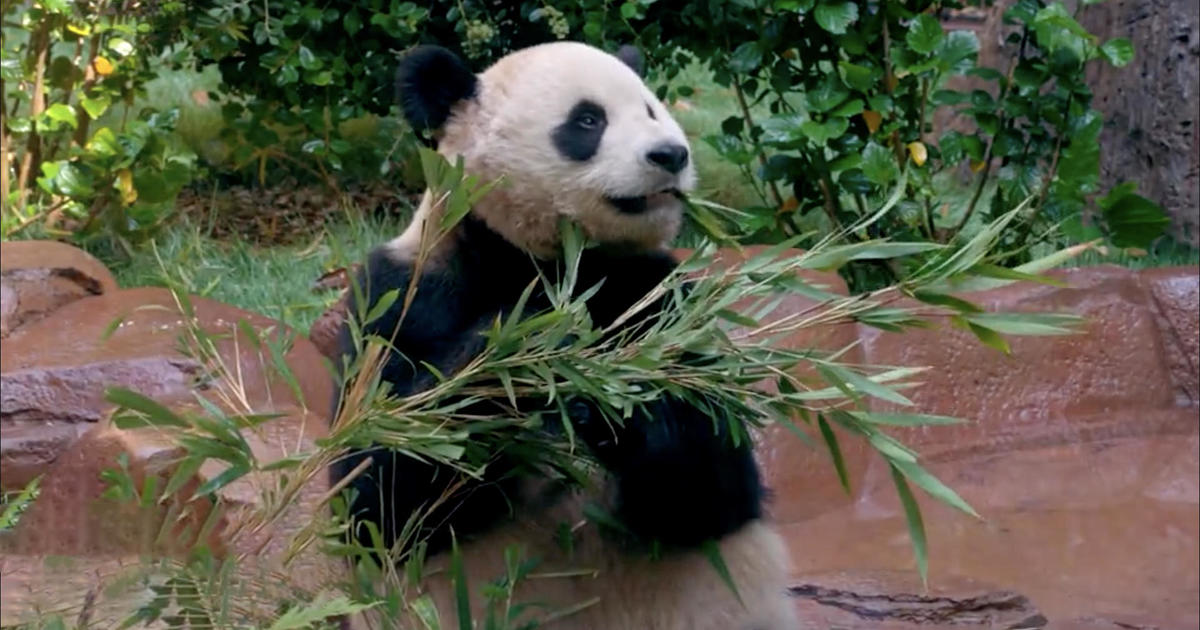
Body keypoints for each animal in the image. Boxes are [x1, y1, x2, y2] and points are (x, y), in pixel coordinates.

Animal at [328, 41, 796, 624]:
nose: (670, 155)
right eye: (588, 120)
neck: (549, 263)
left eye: (651, 109)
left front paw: (614, 398)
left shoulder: (658, 296)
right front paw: (530, 350)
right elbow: (377, 498)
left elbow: (715, 488)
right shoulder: (404, 296)